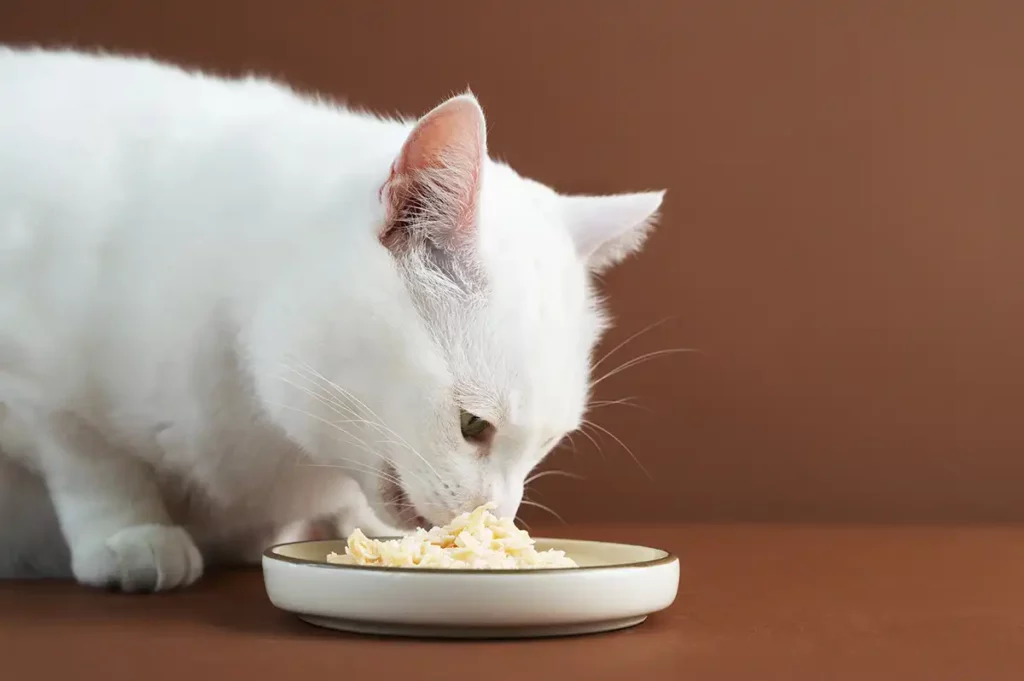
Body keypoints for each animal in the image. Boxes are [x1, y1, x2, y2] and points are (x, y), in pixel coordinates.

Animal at [0, 47, 663, 589]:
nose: (496, 516)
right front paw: (132, 535)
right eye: (473, 425)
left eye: (549, 442)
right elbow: (90, 458)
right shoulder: (37, 381)